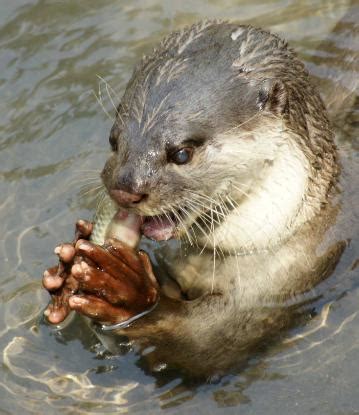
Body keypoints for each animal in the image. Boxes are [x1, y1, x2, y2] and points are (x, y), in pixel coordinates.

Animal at [42, 20, 346, 376]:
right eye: (114, 140)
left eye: (182, 153)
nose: (124, 188)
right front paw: (64, 273)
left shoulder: (286, 282)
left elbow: (203, 346)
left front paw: (124, 292)